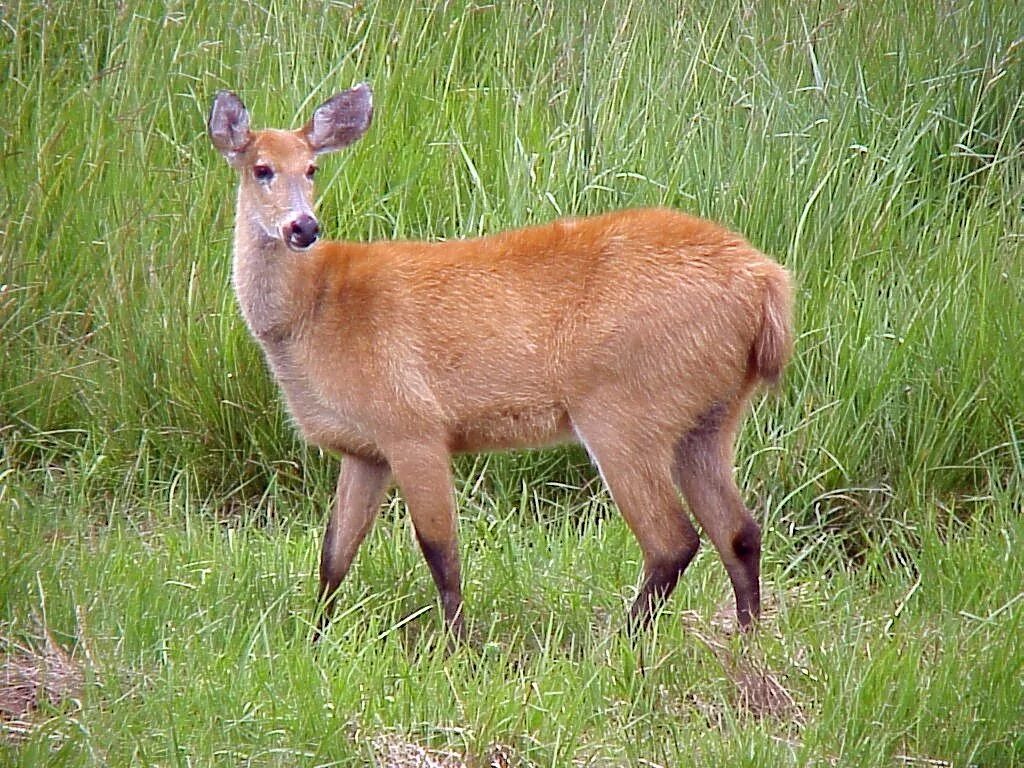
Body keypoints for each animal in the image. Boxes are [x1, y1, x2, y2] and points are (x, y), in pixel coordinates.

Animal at [207, 82, 790, 643]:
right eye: (261, 168)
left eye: (312, 168)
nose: (304, 227)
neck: (312, 313)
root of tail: (768, 286)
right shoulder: (364, 450)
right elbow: (334, 554)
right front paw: (314, 639)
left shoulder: (413, 425)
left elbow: (440, 550)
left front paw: (457, 649)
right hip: (710, 418)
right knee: (739, 532)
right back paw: (747, 642)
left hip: (624, 410)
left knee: (673, 539)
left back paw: (616, 647)